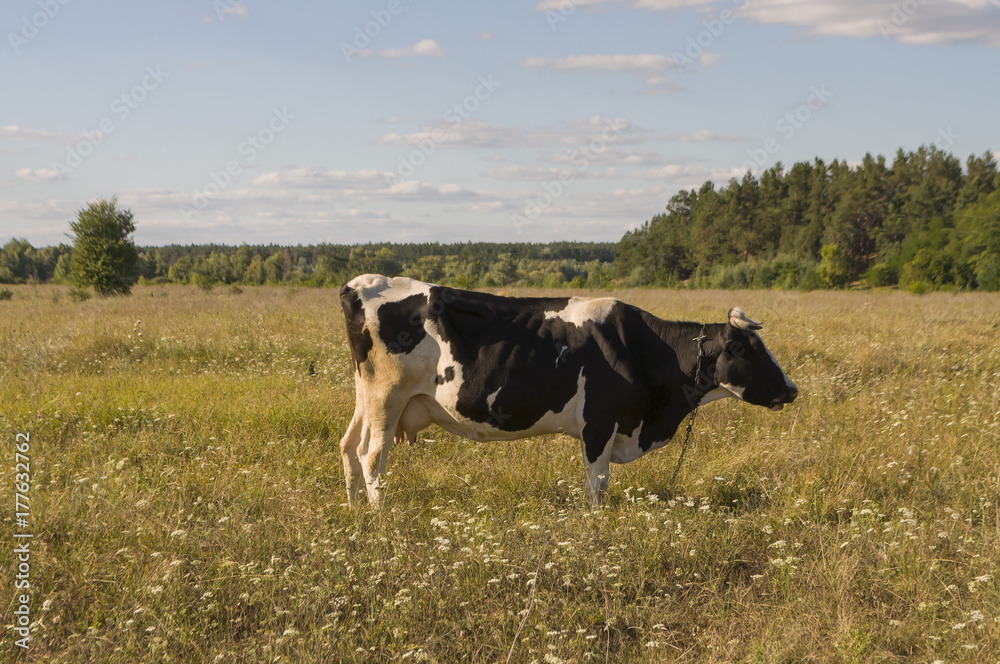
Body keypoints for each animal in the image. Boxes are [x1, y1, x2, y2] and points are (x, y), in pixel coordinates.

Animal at [338, 272, 796, 506]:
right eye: (745, 349)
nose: (792, 390)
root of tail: (361, 282)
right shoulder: (599, 424)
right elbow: (597, 486)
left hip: (367, 397)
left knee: (348, 446)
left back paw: (356, 509)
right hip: (387, 396)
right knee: (372, 456)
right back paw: (380, 515)